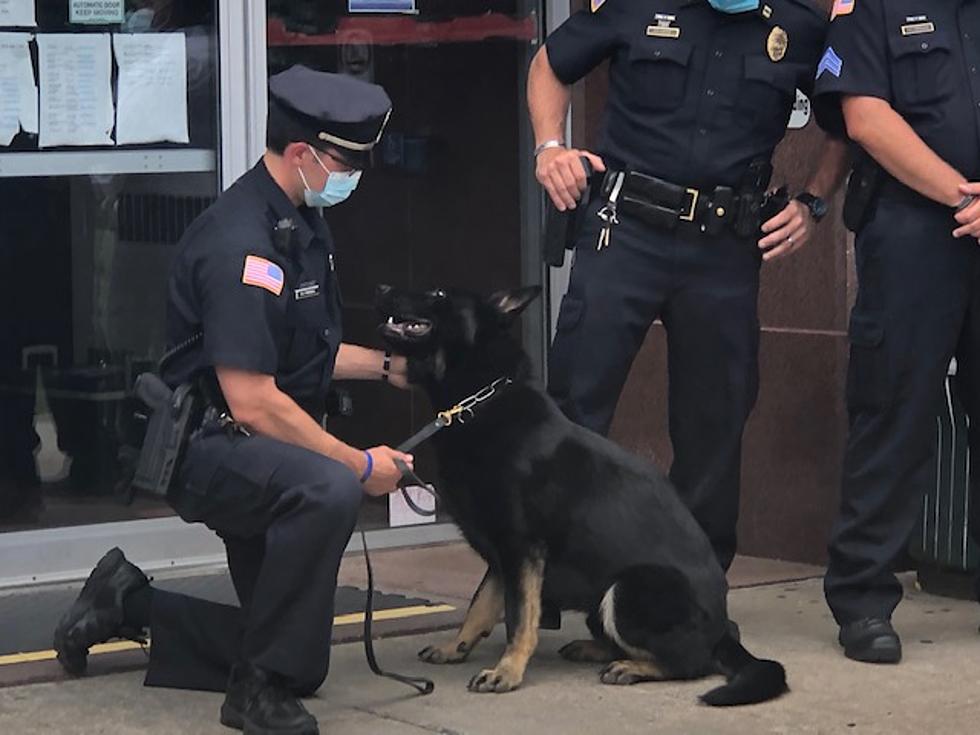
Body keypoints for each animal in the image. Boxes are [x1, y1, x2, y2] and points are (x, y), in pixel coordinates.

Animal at [378, 284, 788, 708]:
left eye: (438, 293)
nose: (382, 289)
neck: (479, 400)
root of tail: (723, 632)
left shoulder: (521, 549)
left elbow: (519, 617)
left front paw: (508, 671)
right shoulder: (501, 555)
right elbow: (480, 606)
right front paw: (456, 647)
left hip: (627, 590)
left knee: (692, 662)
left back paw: (632, 667)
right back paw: (594, 649)